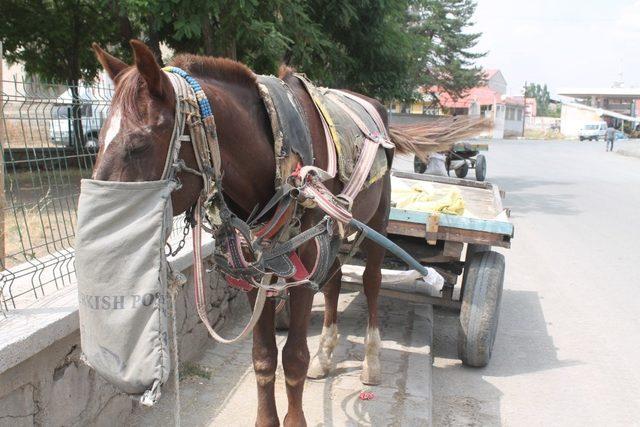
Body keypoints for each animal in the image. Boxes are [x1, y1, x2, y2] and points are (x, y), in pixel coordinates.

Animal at [91, 39, 424, 424]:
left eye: (138, 146)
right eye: (98, 140)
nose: (102, 240)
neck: (278, 159)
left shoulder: (303, 264)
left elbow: (294, 358)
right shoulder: (253, 267)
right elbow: (263, 356)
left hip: (377, 221)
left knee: (371, 282)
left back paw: (371, 359)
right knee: (334, 282)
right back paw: (326, 355)